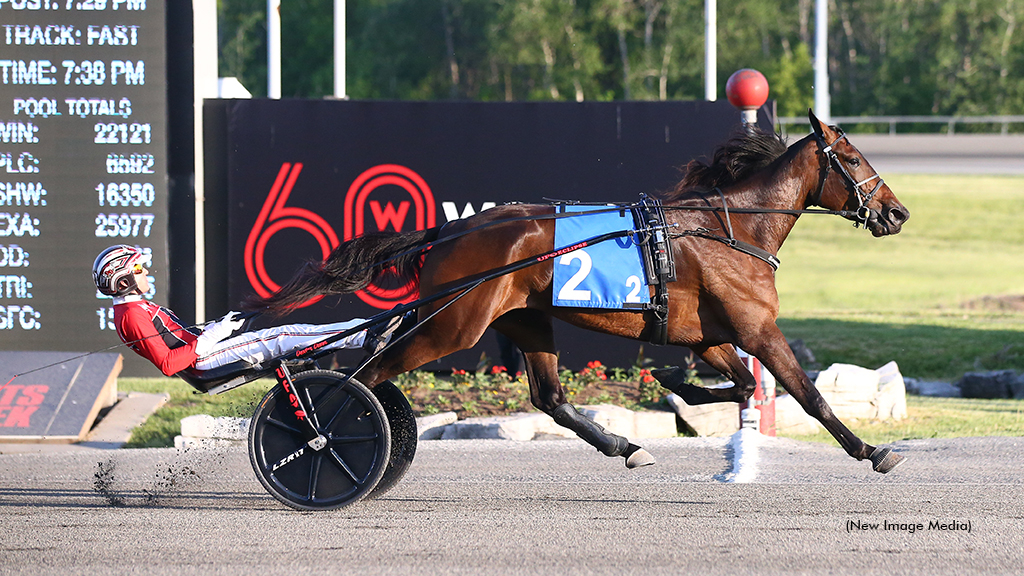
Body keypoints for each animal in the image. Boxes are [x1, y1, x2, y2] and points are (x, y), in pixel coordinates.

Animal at [247, 109, 913, 473]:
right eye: (854, 158)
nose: (897, 212)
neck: (730, 229)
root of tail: (452, 229)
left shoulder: (711, 335)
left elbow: (743, 385)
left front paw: (674, 386)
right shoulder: (757, 329)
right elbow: (809, 396)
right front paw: (872, 451)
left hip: (522, 318)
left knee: (549, 397)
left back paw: (625, 445)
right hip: (451, 323)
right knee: (366, 375)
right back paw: (318, 435)